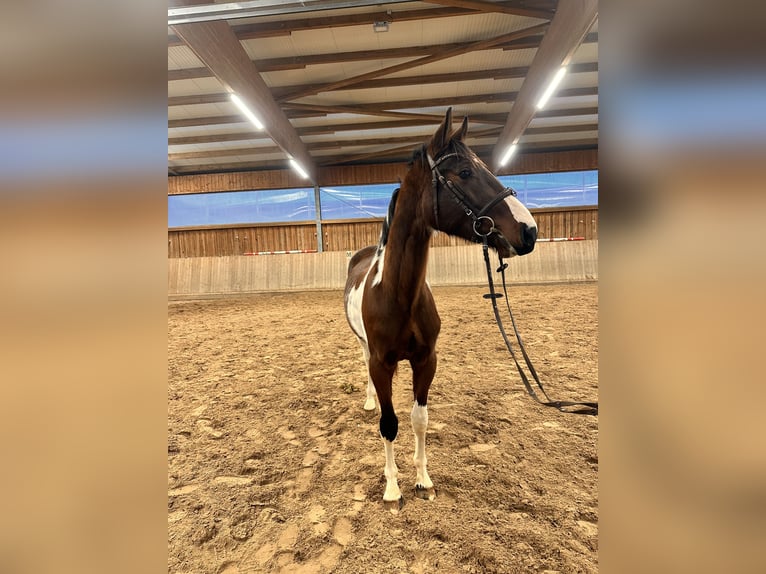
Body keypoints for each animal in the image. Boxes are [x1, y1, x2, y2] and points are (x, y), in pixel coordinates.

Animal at [344, 108, 538, 510]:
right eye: (464, 172)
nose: (530, 231)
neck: (398, 294)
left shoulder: (426, 360)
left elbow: (419, 419)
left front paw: (423, 480)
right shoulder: (382, 363)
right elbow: (389, 424)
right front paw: (392, 488)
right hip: (365, 348)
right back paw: (370, 402)